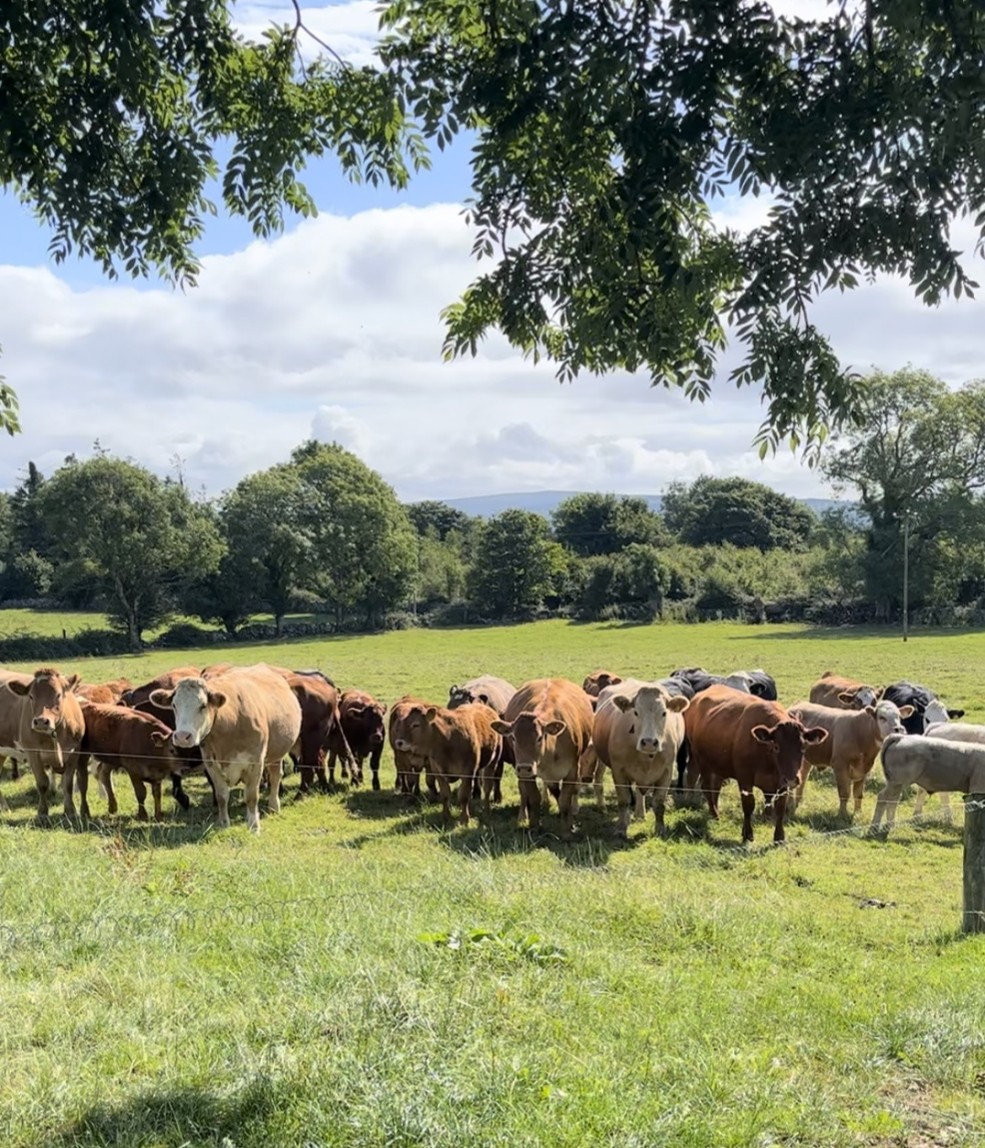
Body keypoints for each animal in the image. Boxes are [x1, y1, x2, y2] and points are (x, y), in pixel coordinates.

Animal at [6, 668, 87, 821]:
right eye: (31, 696)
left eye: (58, 695)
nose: (41, 722)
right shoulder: (33, 753)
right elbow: (42, 783)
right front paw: (42, 813)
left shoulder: (75, 751)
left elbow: (67, 783)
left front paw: (70, 811)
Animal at [150, 663, 302, 832]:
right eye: (174, 705)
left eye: (203, 705)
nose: (183, 736)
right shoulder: (211, 764)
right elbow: (221, 796)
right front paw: (223, 823)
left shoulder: (255, 763)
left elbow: (252, 796)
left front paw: (254, 826)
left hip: (277, 753)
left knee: (275, 777)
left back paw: (274, 806)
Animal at [491, 677, 594, 834]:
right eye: (513, 737)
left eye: (539, 738)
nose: (524, 767)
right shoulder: (528, 773)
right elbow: (534, 798)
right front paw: (534, 827)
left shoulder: (572, 771)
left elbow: (565, 799)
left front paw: (567, 830)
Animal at [585, 679, 689, 837]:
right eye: (635, 712)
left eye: (664, 713)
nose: (649, 742)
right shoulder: (618, 771)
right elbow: (624, 800)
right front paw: (621, 828)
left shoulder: (667, 771)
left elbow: (659, 803)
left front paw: (660, 829)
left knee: (640, 793)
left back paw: (640, 813)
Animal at [684, 684, 827, 843]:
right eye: (776, 746)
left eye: (803, 746)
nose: (791, 779)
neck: (767, 757)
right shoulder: (744, 779)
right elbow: (748, 805)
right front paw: (747, 834)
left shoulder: (781, 783)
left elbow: (780, 807)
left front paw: (779, 837)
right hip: (701, 761)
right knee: (707, 788)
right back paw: (715, 815)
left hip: (719, 765)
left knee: (715, 788)